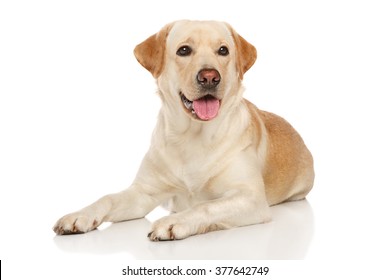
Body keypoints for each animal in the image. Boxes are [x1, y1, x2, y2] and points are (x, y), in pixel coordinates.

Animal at [52, 20, 314, 242]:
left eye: (223, 50)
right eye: (184, 50)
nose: (210, 77)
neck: (192, 136)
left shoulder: (251, 198)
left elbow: (205, 205)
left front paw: (174, 221)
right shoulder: (143, 193)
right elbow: (107, 197)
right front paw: (79, 215)